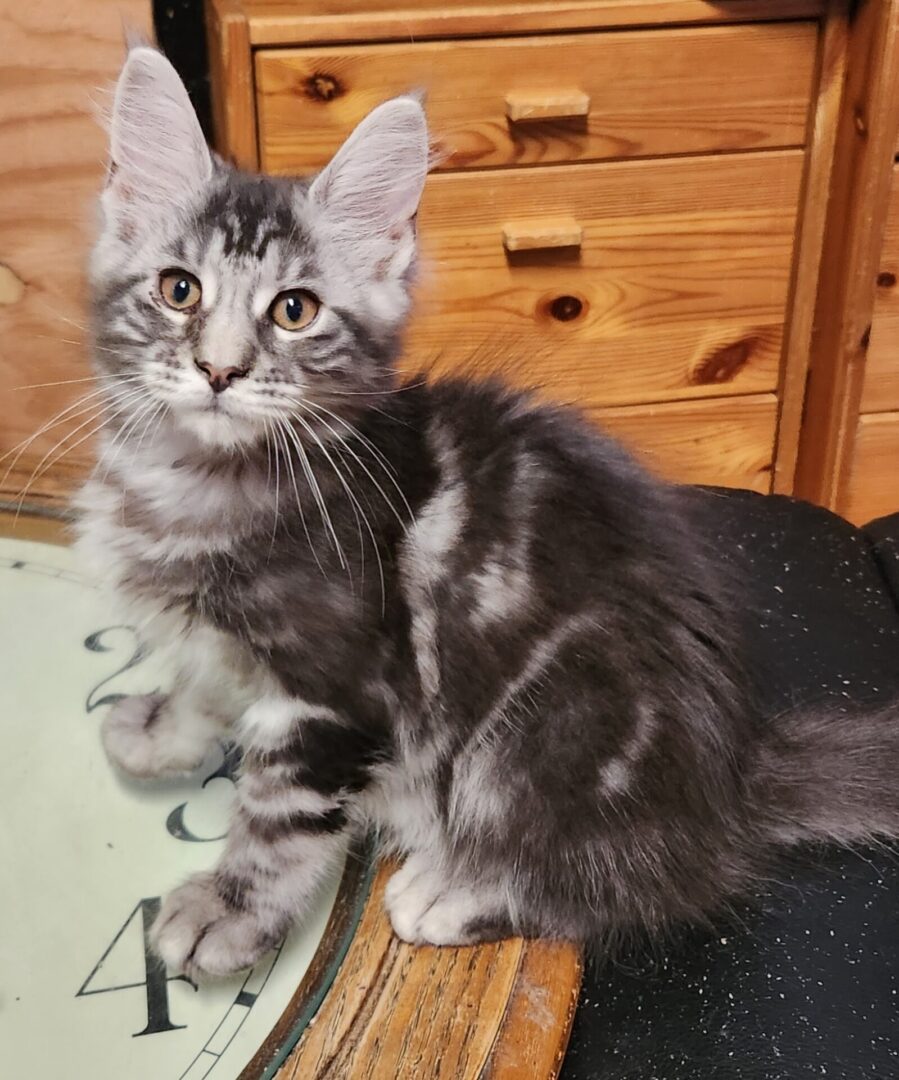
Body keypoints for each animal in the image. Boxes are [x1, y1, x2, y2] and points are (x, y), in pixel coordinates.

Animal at [77, 48, 899, 980]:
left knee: (629, 886)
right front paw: (162, 725)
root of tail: (727, 788)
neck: (196, 481)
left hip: (544, 731)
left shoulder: (335, 690)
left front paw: (228, 909)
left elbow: (279, 817)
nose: (219, 370)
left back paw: (454, 889)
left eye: (294, 310)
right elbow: (201, 678)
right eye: (179, 291)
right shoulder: (223, 644)